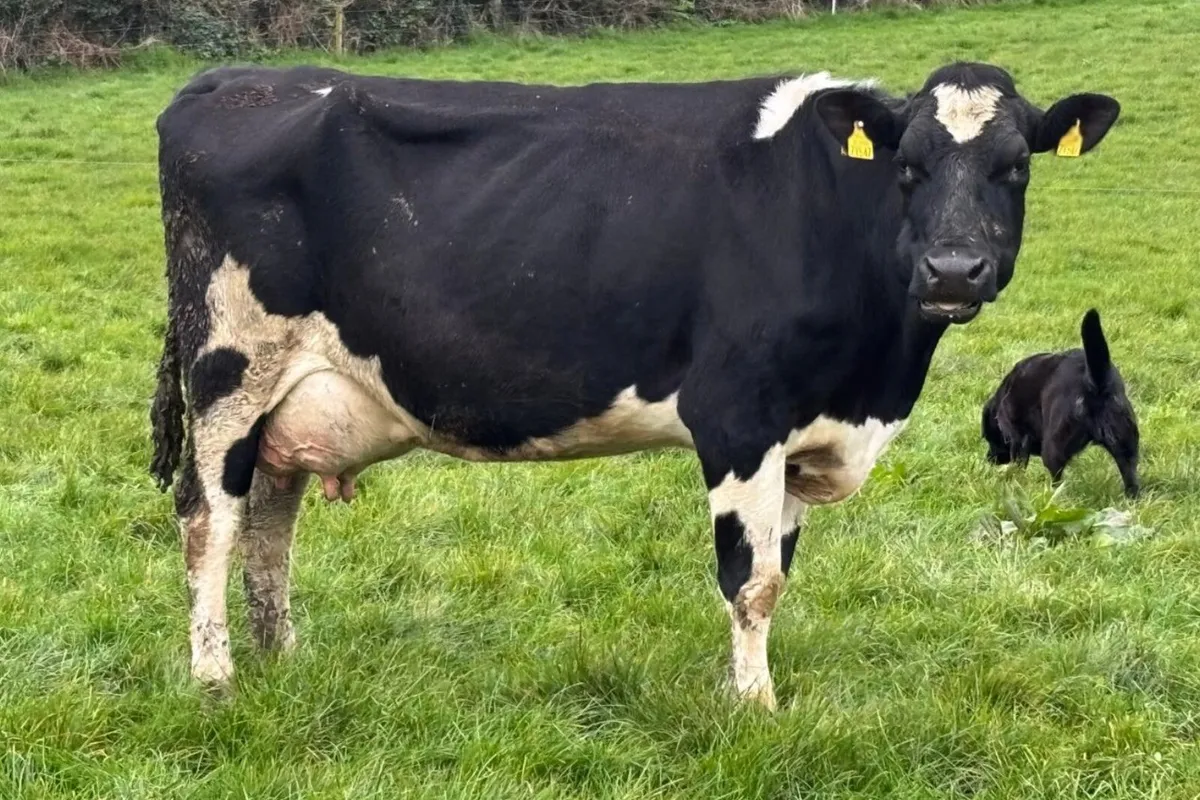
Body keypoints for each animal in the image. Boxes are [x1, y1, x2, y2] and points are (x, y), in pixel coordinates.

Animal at [150, 61, 1119, 707]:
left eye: (1016, 165)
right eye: (906, 165)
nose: (953, 269)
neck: (874, 377)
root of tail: (234, 79)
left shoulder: (800, 435)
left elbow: (780, 572)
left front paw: (752, 685)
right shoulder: (737, 417)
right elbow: (751, 580)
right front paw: (754, 707)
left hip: (292, 394)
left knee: (270, 520)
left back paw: (281, 657)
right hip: (230, 365)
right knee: (210, 520)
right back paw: (216, 676)